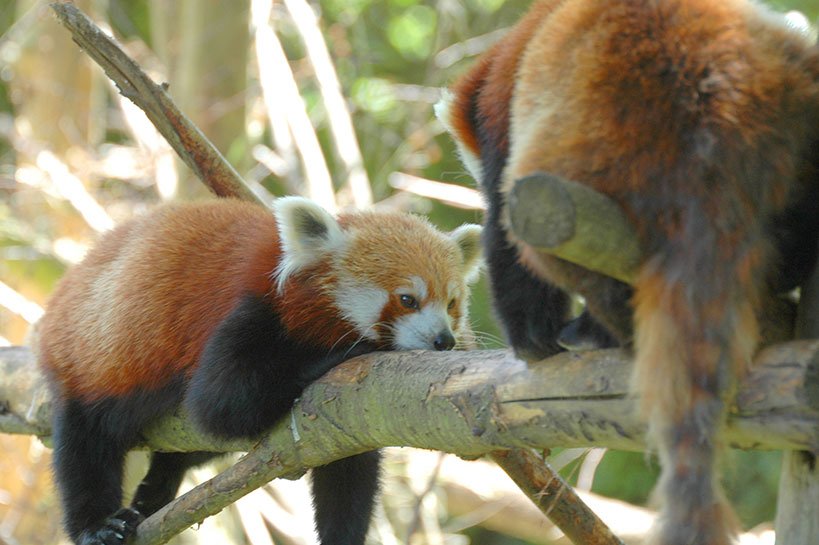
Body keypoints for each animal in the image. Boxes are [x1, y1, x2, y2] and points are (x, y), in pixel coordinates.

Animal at [38, 198, 484, 544]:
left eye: (451, 303)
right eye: (408, 299)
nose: (444, 340)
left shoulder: (351, 410)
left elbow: (349, 466)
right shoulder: (253, 310)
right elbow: (220, 405)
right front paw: (348, 350)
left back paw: (160, 482)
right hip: (87, 359)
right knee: (85, 444)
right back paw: (97, 524)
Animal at [442, 1, 819, 544]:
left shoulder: (504, 115)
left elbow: (506, 240)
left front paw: (533, 340)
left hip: (589, 156)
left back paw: (600, 331)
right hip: (796, 93)